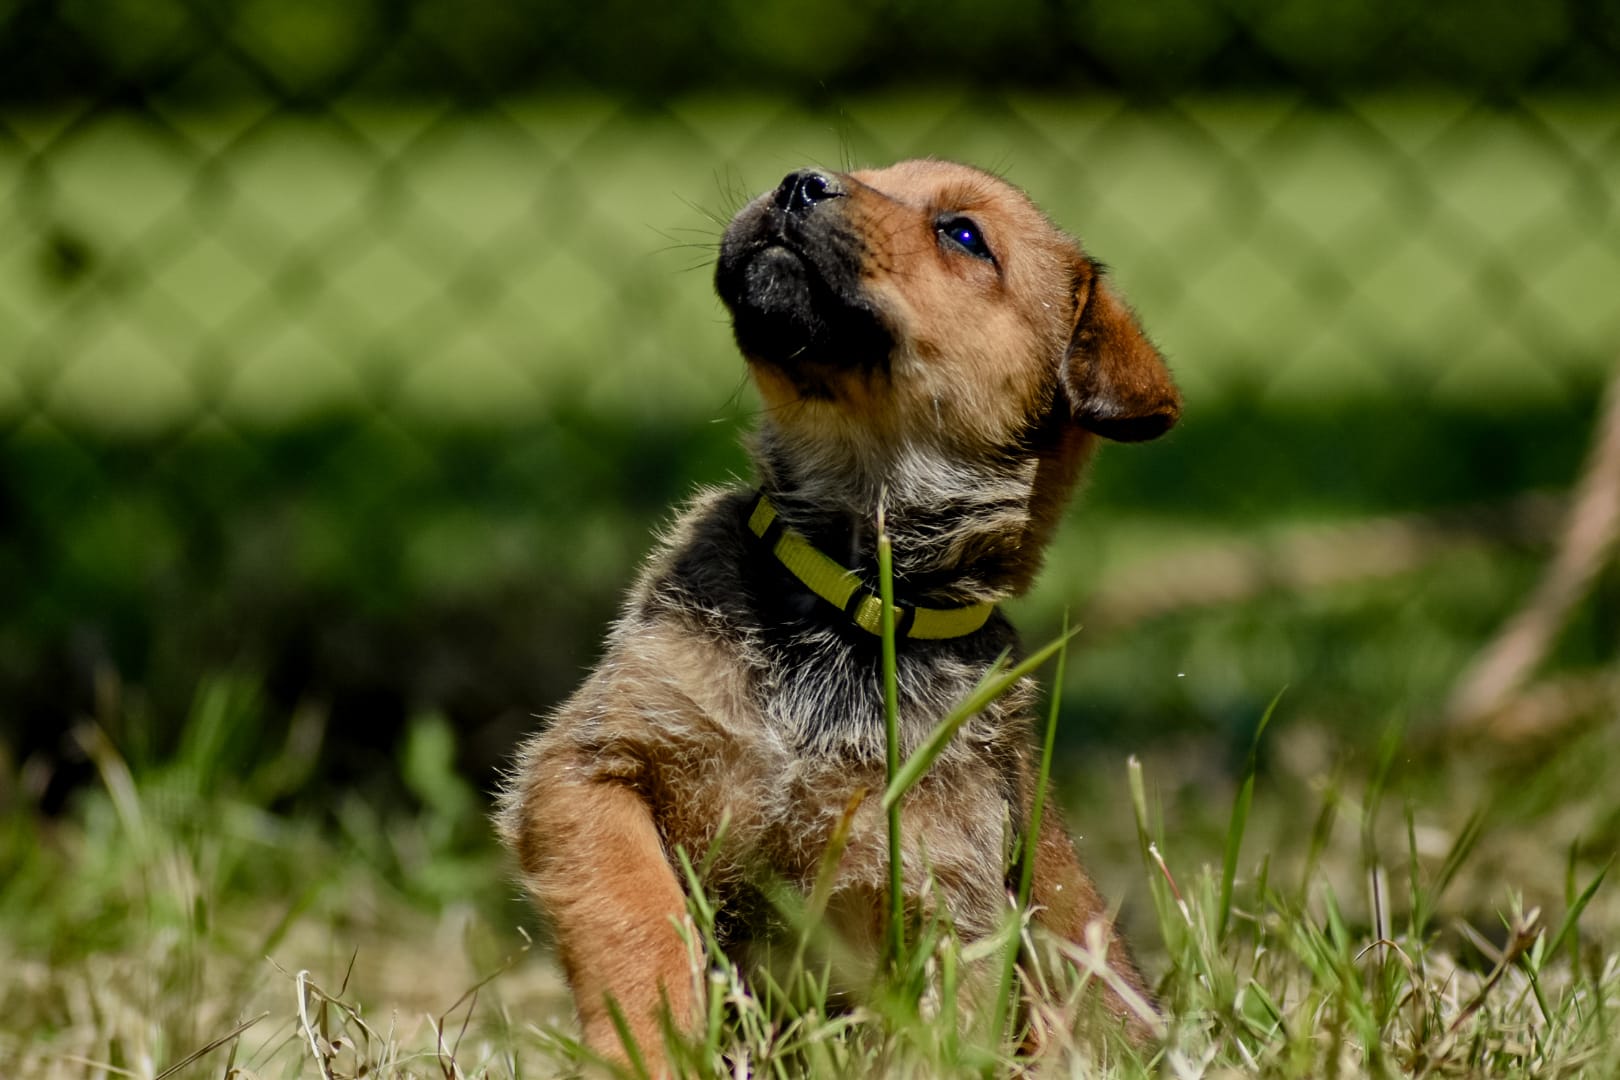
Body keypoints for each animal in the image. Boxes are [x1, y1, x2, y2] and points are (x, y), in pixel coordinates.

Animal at [492, 160, 1179, 1062]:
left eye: (964, 234)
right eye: (871, 173)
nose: (800, 181)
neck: (850, 600)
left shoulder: (941, 904)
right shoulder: (588, 767)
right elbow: (638, 915)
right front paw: (655, 1045)